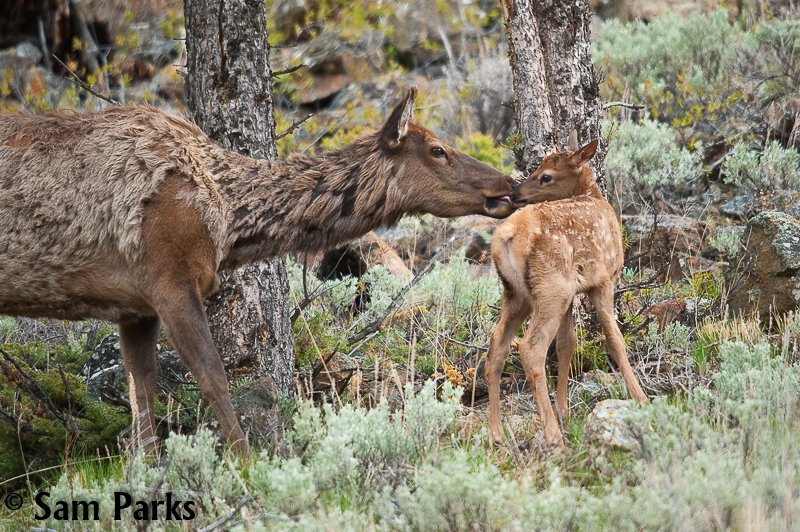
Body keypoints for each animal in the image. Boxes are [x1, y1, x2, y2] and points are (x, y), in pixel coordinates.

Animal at [0, 88, 516, 454]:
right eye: (437, 150)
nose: (507, 184)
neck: (230, 221)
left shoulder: (134, 307)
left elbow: (140, 402)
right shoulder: (168, 280)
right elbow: (212, 375)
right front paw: (247, 465)